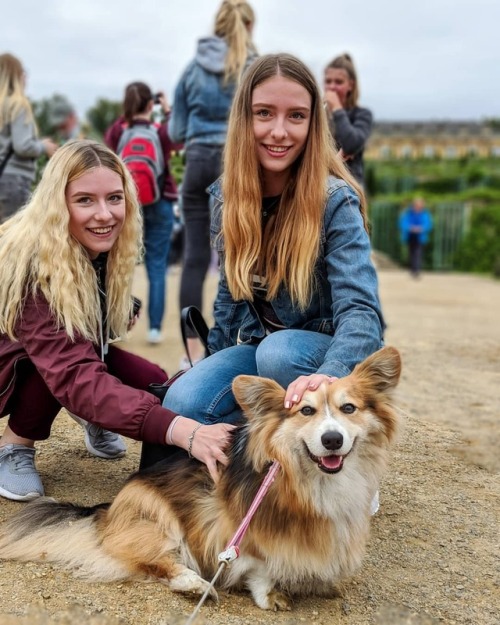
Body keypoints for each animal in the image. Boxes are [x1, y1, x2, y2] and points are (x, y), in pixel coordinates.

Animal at [0, 346, 400, 608]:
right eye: (305, 411)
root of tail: (108, 510)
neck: (310, 479)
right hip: (156, 521)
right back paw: (193, 584)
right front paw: (270, 592)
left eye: (348, 408)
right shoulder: (238, 527)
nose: (332, 440)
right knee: (152, 559)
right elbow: (257, 563)